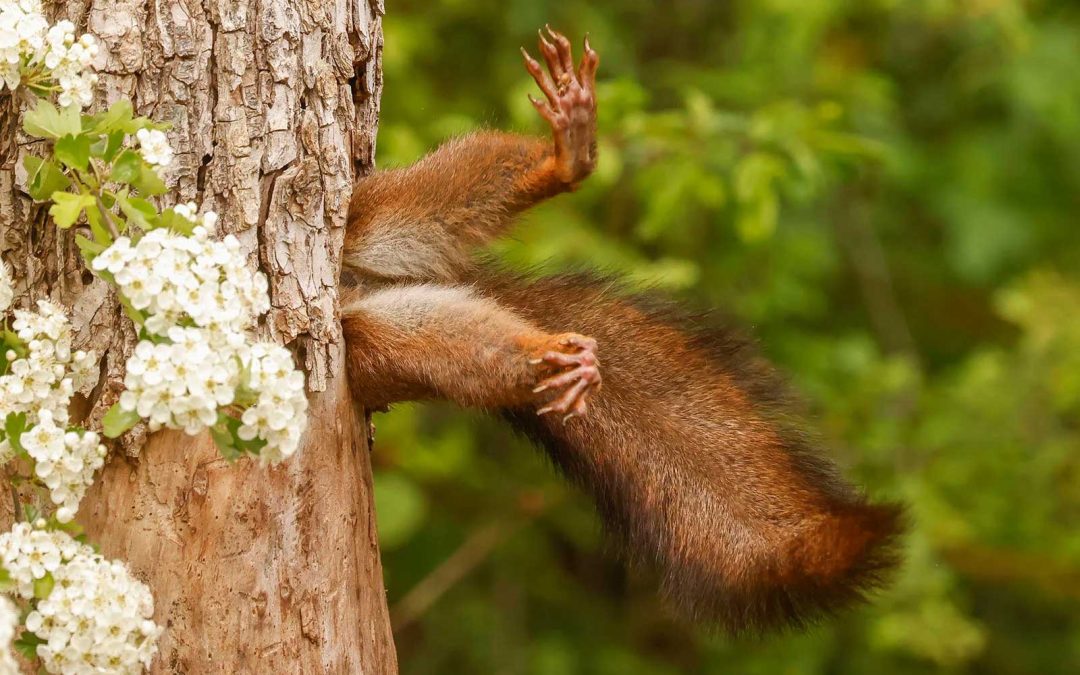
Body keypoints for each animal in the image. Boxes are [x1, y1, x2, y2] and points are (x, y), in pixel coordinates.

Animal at [339, 27, 902, 635]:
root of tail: (357, 287)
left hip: (371, 214)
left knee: (443, 191)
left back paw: (566, 156)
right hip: (376, 344)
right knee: (457, 347)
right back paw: (552, 358)